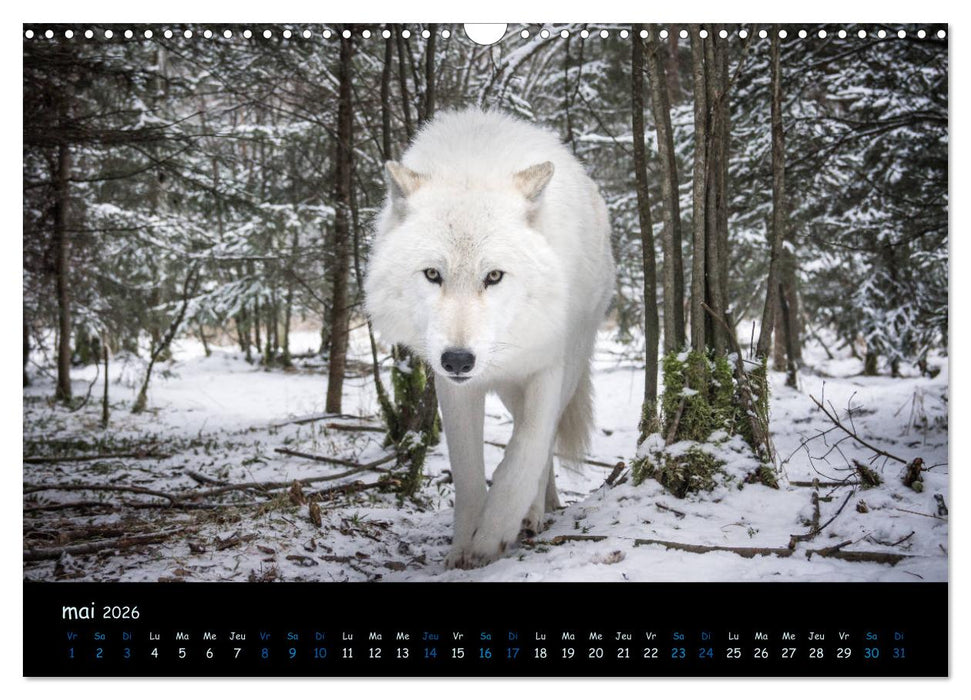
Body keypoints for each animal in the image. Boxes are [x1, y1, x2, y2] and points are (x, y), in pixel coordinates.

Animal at [364, 109, 615, 569]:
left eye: (494, 276)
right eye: (433, 274)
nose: (459, 360)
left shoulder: (548, 366)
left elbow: (524, 453)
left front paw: (494, 532)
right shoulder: (454, 388)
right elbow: (467, 472)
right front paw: (463, 546)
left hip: (570, 363)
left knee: (544, 439)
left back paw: (533, 513)